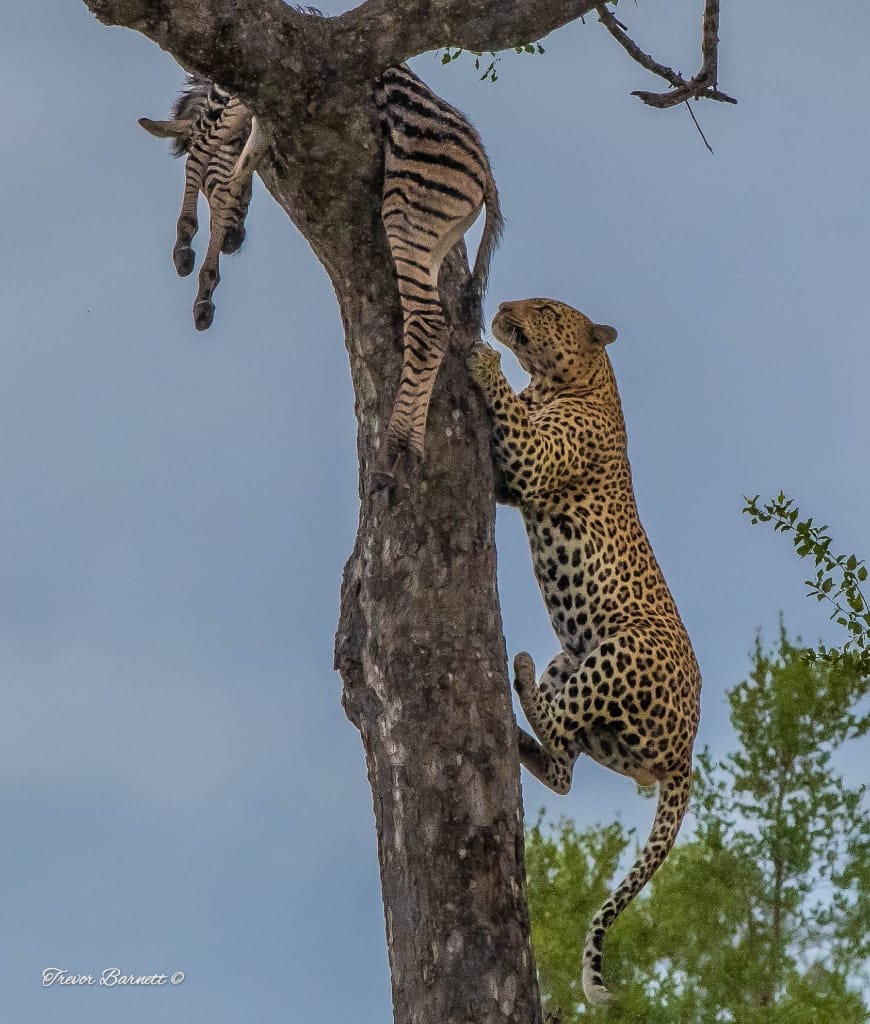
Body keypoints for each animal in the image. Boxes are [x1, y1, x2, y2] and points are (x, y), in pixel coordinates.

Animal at [466, 297, 701, 1008]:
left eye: (545, 309)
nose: (502, 306)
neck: (564, 382)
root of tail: (685, 755)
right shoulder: (508, 477)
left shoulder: (533, 458)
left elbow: (512, 419)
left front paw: (483, 358)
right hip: (573, 665)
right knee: (566, 760)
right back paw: (517, 732)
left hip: (621, 647)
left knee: (563, 719)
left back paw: (517, 686)